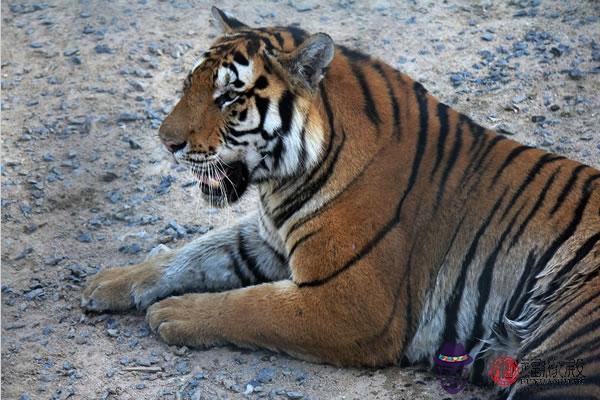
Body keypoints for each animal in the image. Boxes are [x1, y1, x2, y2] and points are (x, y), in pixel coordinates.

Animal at [81, 7, 600, 400]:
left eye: (229, 97)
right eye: (189, 84)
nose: (165, 142)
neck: (284, 180)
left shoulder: (351, 301)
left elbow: (251, 305)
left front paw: (174, 313)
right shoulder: (268, 238)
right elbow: (191, 253)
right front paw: (110, 281)